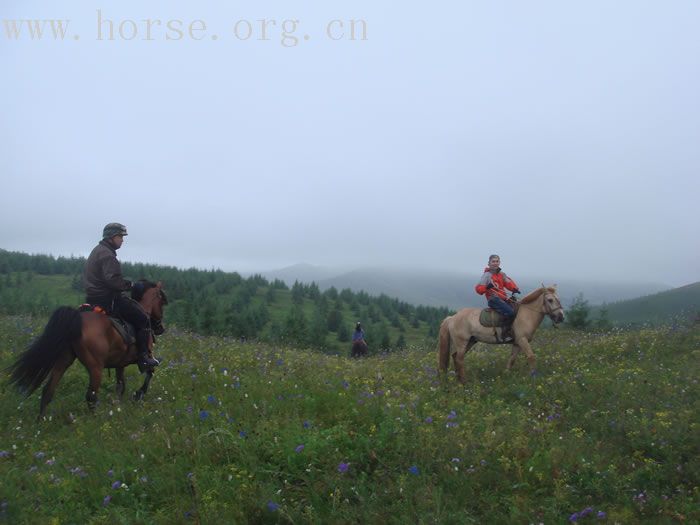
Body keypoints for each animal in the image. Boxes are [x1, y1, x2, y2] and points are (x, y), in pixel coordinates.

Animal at [7, 280, 168, 416]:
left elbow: (120, 386)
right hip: (95, 367)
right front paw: (138, 394)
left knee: (48, 390)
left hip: (63, 361)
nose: (160, 328)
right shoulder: (145, 358)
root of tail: (77, 320)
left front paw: (118, 405)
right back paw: (95, 421)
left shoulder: (120, 364)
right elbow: (150, 372)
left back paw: (41, 421)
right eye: (161, 301)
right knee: (91, 395)